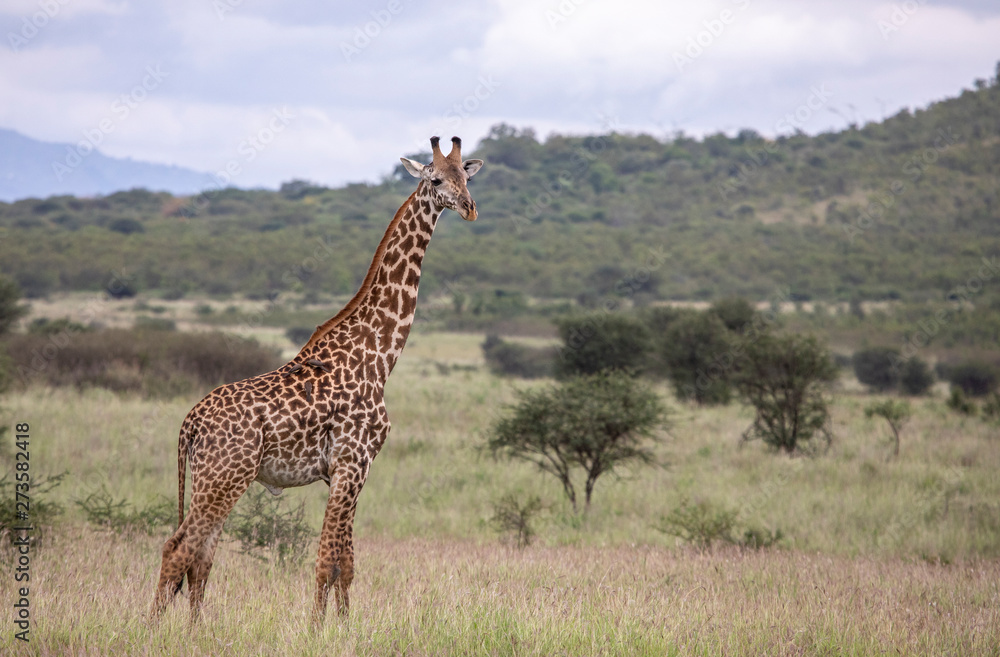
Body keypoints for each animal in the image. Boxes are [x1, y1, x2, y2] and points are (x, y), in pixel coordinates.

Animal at [151, 136, 483, 627]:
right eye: (436, 179)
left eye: (467, 176)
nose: (469, 208)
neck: (379, 355)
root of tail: (189, 423)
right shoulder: (352, 461)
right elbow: (327, 560)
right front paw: (315, 629)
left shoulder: (350, 469)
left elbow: (346, 563)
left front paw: (344, 627)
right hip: (224, 476)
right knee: (178, 549)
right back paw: (154, 628)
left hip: (215, 478)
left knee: (201, 557)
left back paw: (194, 631)